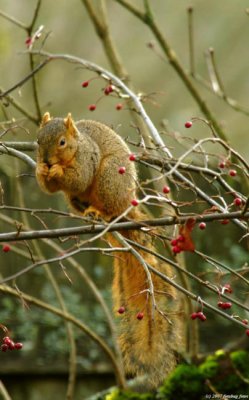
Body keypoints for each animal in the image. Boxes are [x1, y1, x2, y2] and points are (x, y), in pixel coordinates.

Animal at [36, 111, 182, 388]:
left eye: (62, 142)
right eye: (37, 141)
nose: (46, 160)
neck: (77, 147)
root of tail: (126, 205)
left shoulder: (87, 160)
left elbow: (78, 177)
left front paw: (58, 170)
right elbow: (48, 187)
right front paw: (41, 171)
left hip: (109, 177)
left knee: (105, 202)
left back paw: (100, 212)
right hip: (78, 199)